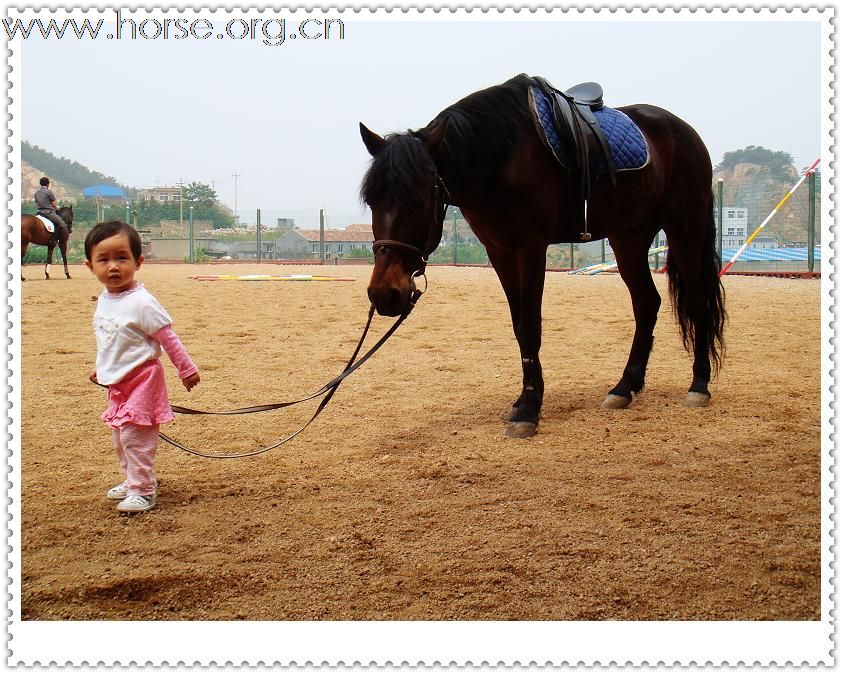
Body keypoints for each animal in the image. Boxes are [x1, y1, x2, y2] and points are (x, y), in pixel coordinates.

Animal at [360, 76, 720, 438]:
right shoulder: (500, 252)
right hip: (628, 238)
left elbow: (530, 326)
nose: (384, 294)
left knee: (697, 301)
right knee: (647, 303)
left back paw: (699, 386)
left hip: (684, 230)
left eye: (420, 200)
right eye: (372, 200)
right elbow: (519, 325)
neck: (501, 157)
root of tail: (685, 132)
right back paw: (624, 388)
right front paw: (524, 399)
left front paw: (529, 410)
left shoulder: (530, 248)